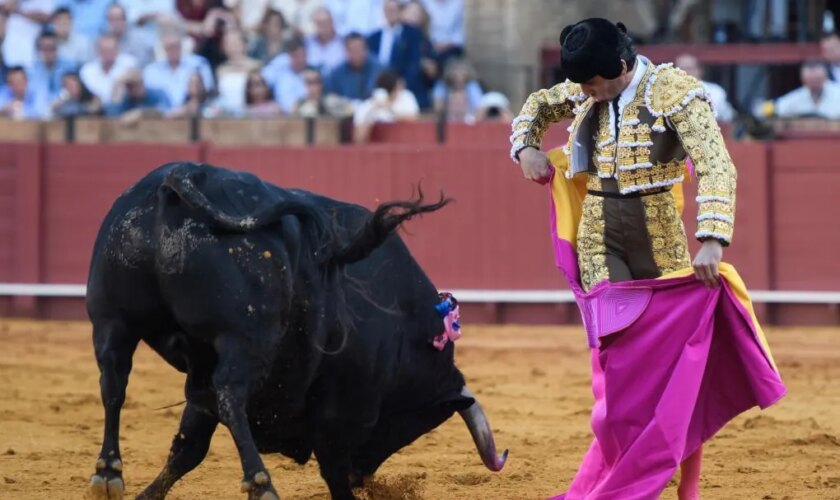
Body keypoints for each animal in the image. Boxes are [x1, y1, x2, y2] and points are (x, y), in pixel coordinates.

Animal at [87, 162, 506, 498]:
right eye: (414, 424)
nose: (361, 478)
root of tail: (187, 174)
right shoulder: (344, 409)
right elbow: (333, 467)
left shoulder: (200, 379)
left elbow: (188, 447)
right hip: (245, 340)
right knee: (230, 392)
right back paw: (261, 484)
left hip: (112, 321)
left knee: (113, 382)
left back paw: (107, 473)